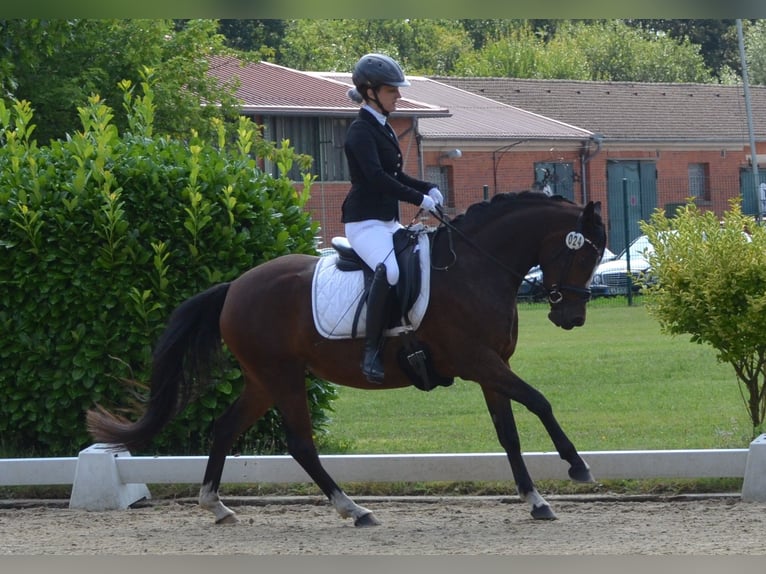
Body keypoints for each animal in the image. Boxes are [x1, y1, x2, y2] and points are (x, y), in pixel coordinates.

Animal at [88, 192, 608, 528]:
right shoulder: (478, 361)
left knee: (226, 427)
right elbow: (540, 402)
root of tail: (235, 287)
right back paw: (353, 510)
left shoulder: (491, 368)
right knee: (300, 443)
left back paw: (216, 506)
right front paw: (577, 466)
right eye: (582, 255)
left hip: (264, 380)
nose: (572, 317)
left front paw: (536, 500)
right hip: (282, 377)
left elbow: (509, 435)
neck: (473, 268)